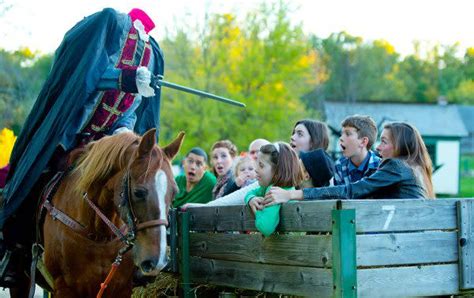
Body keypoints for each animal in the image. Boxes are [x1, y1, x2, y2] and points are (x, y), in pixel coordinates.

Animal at [42, 129, 183, 296]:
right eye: (138, 193)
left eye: (174, 193)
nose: (158, 262)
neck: (98, 236)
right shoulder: (64, 288)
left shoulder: (121, 288)